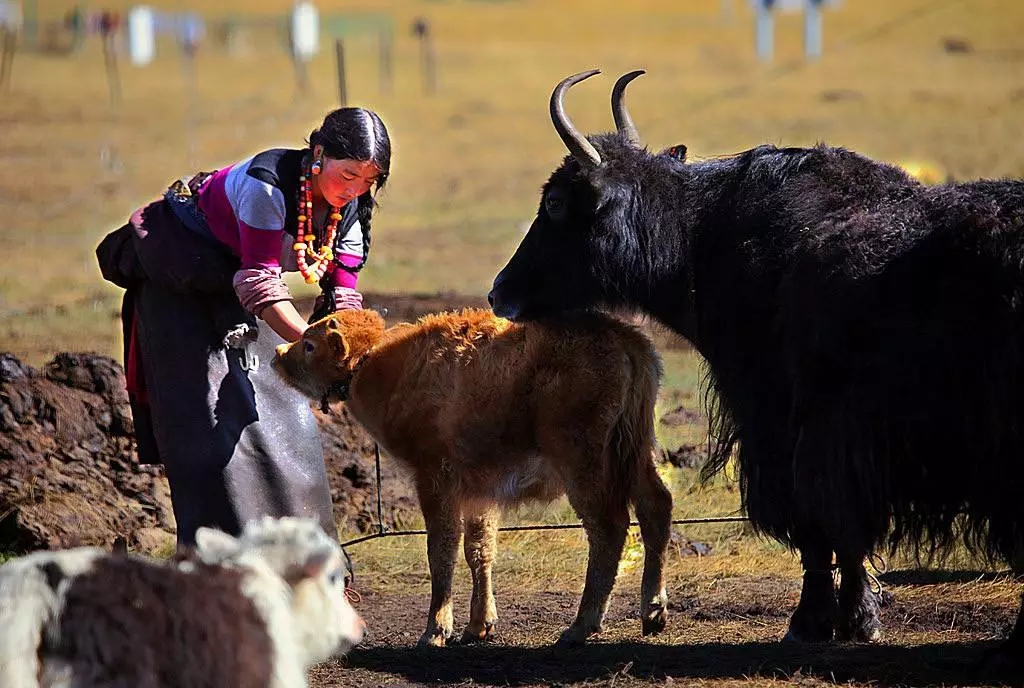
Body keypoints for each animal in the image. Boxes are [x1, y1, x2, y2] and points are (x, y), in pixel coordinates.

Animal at [272, 309, 671, 647]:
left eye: (310, 344)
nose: (277, 353)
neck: (383, 365)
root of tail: (625, 339)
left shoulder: (435, 480)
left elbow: (442, 550)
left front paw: (435, 630)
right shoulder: (480, 492)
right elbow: (479, 549)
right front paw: (479, 625)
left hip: (584, 465)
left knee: (608, 528)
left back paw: (581, 626)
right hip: (635, 455)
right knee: (656, 507)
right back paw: (653, 612)